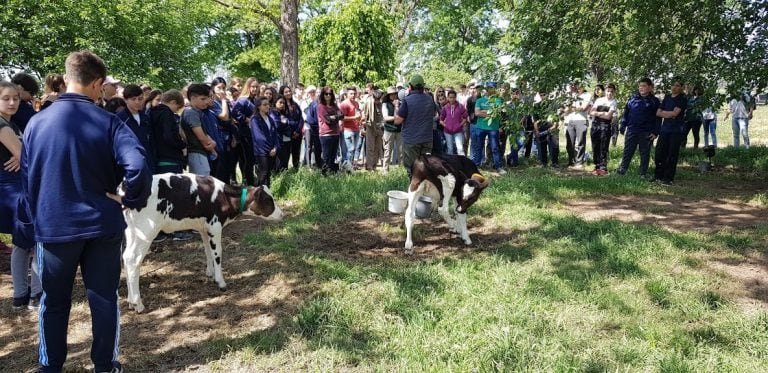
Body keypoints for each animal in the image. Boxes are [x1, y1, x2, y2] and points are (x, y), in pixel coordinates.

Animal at [121, 173, 284, 312]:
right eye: (268, 200)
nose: (282, 214)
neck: (225, 196)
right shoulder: (215, 226)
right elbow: (218, 253)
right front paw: (220, 282)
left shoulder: (204, 228)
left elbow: (207, 251)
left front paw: (210, 274)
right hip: (146, 232)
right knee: (134, 260)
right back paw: (138, 303)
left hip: (131, 232)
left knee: (126, 257)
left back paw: (130, 301)